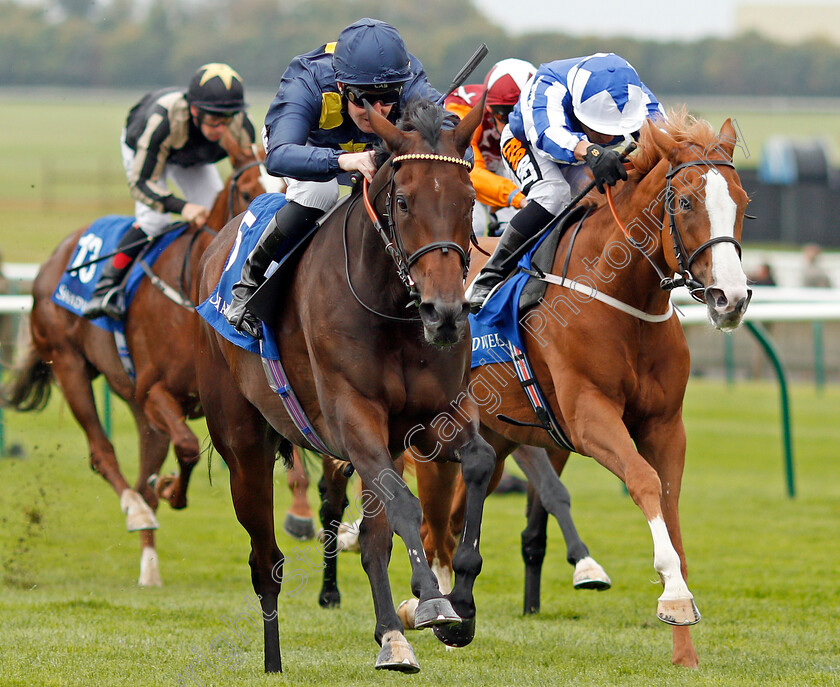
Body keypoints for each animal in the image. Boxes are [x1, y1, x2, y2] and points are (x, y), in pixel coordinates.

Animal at [1, 133, 272, 584]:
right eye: (250, 191)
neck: (190, 293)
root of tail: (54, 258)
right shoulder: (153, 390)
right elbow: (187, 447)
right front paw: (171, 489)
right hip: (70, 365)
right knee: (103, 452)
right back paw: (135, 508)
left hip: (136, 407)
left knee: (144, 468)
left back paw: (149, 566)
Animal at [195, 99, 498, 676]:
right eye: (403, 201)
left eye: (469, 201)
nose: (446, 313)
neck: (390, 307)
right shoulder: (352, 418)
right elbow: (405, 504)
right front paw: (432, 601)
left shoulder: (433, 419)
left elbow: (478, 462)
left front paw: (462, 606)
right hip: (243, 447)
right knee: (265, 559)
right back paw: (274, 661)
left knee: (375, 539)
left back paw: (391, 637)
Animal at [410, 114, 752, 672]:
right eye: (684, 203)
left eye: (742, 201)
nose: (732, 298)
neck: (622, 297)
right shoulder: (589, 416)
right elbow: (643, 480)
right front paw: (675, 597)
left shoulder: (665, 425)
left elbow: (671, 504)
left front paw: (685, 646)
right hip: (435, 437)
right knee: (430, 528)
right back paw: (433, 609)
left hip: (499, 438)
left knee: (460, 510)